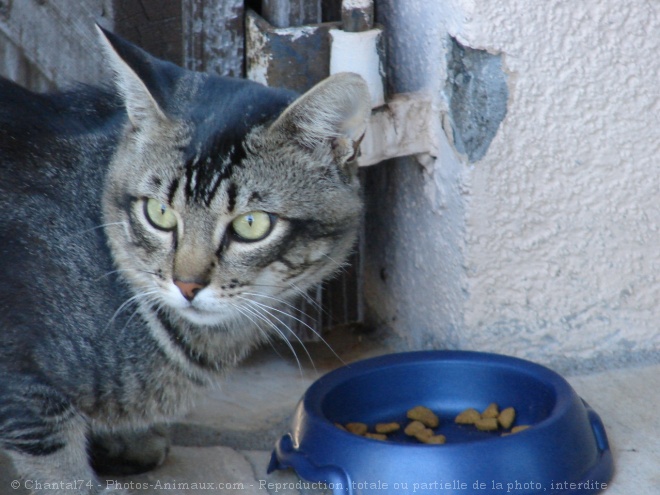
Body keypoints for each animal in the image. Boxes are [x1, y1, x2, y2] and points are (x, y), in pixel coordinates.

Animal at [0, 28, 372, 495]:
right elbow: (58, 464)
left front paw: (125, 441)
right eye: (159, 213)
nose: (188, 285)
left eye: (251, 224)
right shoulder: (22, 378)